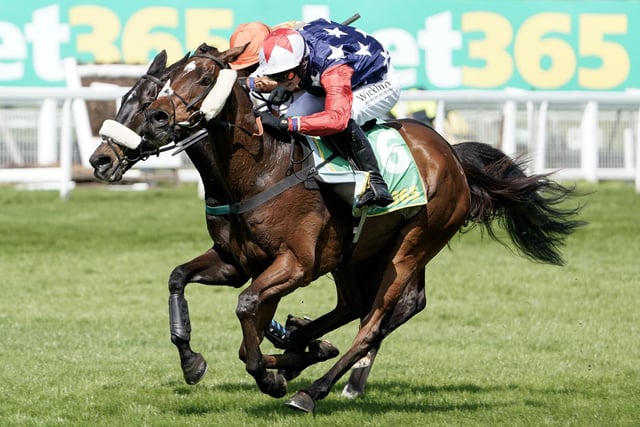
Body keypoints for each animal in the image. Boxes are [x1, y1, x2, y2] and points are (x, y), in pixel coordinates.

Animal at [136, 45, 584, 412]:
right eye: (168, 76)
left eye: (204, 78)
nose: (157, 117)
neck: (261, 168)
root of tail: (452, 156)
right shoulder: (236, 262)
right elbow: (180, 278)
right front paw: (195, 362)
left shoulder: (296, 264)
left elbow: (247, 308)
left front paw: (270, 375)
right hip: (353, 252)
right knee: (359, 305)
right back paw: (300, 345)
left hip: (414, 244)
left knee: (376, 319)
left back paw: (312, 390)